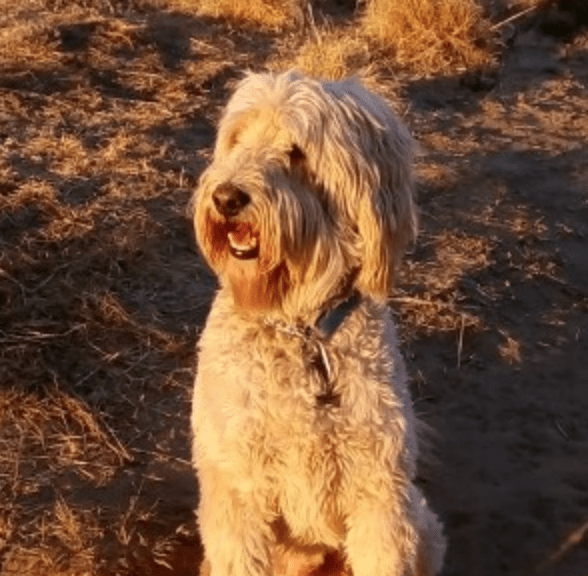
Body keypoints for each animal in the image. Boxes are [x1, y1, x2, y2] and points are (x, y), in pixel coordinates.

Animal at [191, 71, 444, 576]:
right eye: (236, 139)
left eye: (297, 151)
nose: (226, 197)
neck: (302, 328)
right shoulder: (239, 487)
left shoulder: (380, 493)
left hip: (421, 523)